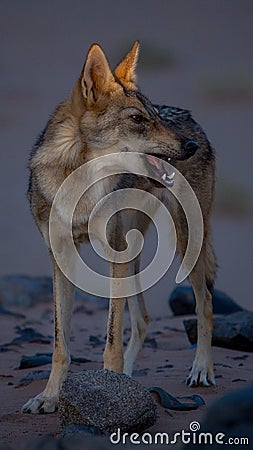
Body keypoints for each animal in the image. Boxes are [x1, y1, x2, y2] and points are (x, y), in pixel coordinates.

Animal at [22, 42, 215, 414]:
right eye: (137, 119)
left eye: (155, 116)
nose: (190, 147)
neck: (78, 182)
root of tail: (193, 119)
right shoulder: (62, 259)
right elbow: (60, 344)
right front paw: (50, 397)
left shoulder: (114, 255)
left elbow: (111, 339)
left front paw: (110, 394)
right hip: (134, 251)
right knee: (143, 319)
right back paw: (128, 379)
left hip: (185, 245)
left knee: (205, 303)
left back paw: (201, 369)